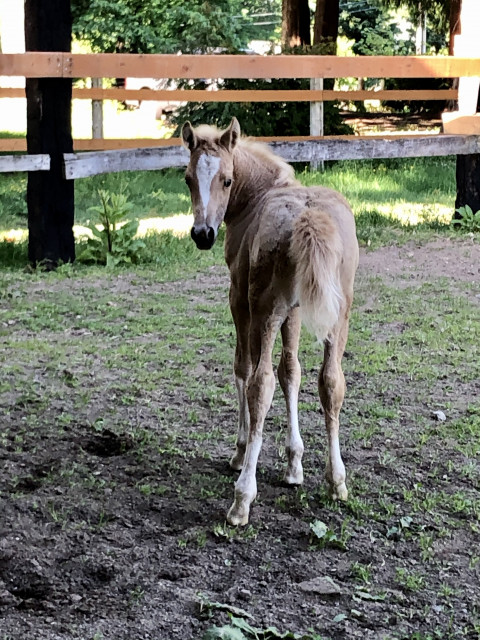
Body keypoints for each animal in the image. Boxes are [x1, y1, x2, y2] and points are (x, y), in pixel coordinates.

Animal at [182, 119, 358, 524]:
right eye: (187, 178)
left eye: (227, 180)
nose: (202, 235)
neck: (259, 194)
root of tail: (309, 216)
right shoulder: (294, 311)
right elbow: (291, 372)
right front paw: (294, 465)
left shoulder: (240, 301)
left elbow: (244, 369)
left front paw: (239, 450)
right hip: (336, 317)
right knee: (331, 382)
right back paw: (337, 481)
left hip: (264, 309)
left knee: (259, 385)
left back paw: (241, 499)